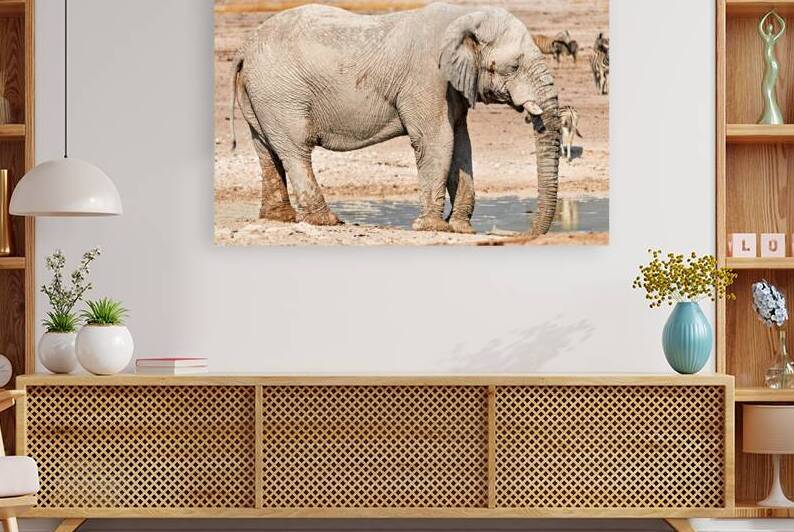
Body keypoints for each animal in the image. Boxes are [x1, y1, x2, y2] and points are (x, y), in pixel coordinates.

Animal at [230, 2, 561, 235]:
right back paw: (328, 221)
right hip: (280, 92)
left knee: (266, 150)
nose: (528, 233)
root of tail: (244, 48)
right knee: (295, 150)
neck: (465, 14)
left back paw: (279, 218)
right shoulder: (426, 78)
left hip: (261, 95)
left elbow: (461, 144)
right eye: (513, 66)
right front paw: (432, 228)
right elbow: (437, 141)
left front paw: (462, 229)